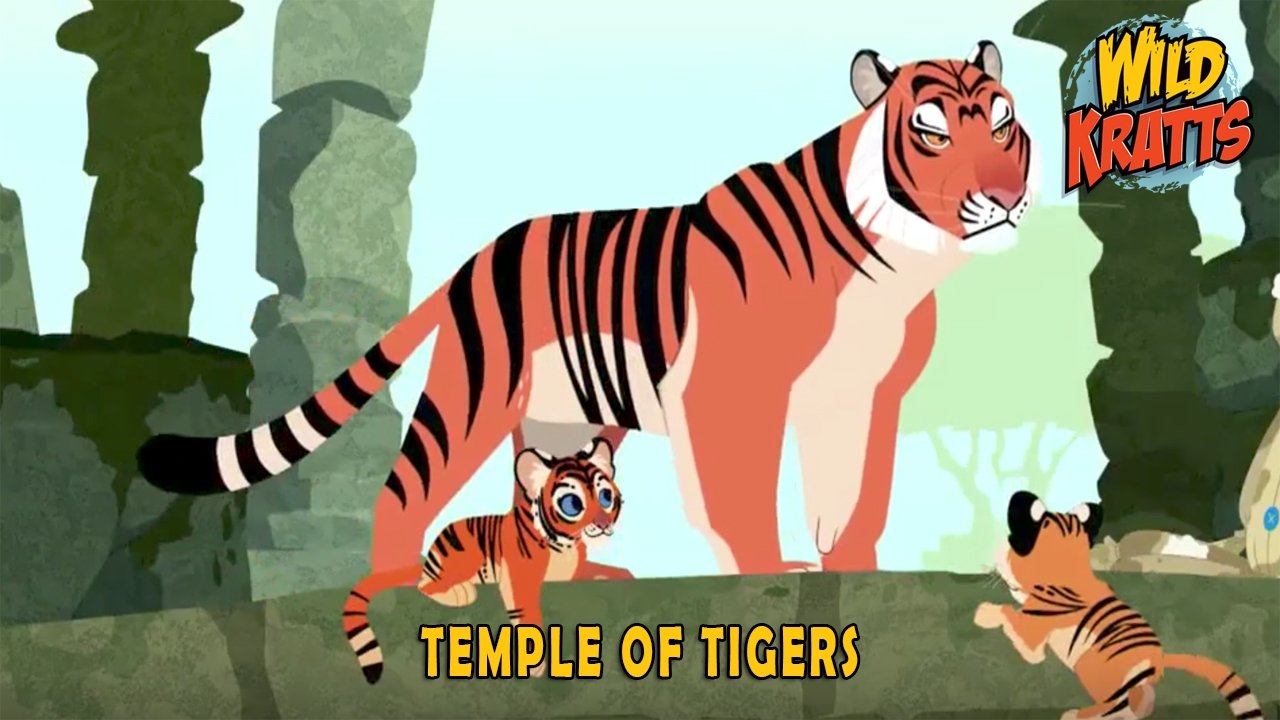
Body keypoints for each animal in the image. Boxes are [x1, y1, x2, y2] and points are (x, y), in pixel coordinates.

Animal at [135, 39, 1038, 580]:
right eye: (931, 130)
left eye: (1002, 120)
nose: (1002, 198)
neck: (895, 262)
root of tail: (473, 257)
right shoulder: (729, 391)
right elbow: (741, 494)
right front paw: (768, 574)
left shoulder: (863, 396)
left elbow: (855, 496)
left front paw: (851, 568)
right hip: (474, 396)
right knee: (404, 485)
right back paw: (392, 588)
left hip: (564, 417)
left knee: (533, 495)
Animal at [342, 437, 625, 684]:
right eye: (572, 503)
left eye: (605, 497)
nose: (603, 524)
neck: (565, 544)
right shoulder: (519, 578)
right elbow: (527, 615)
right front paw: (535, 663)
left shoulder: (573, 574)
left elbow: (601, 576)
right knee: (425, 585)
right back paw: (462, 593)